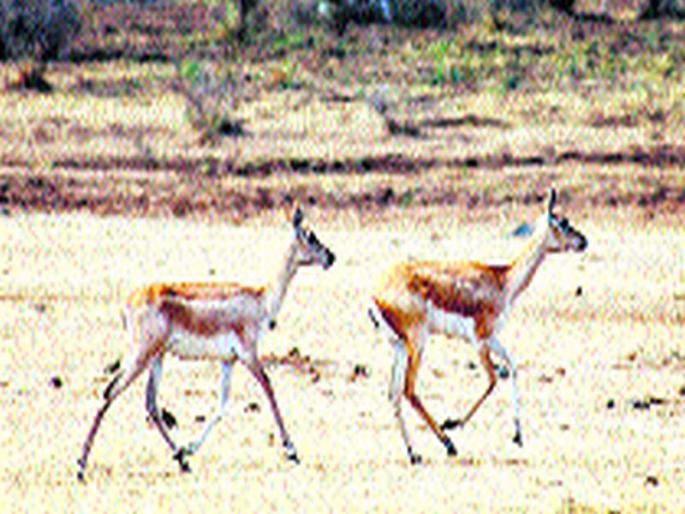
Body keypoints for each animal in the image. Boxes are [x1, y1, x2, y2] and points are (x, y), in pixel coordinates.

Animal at [77, 208, 335, 481]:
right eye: (311, 236)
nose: (331, 256)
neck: (261, 299)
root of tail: (128, 302)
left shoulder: (228, 360)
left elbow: (222, 404)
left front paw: (188, 450)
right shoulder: (249, 354)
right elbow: (268, 388)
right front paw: (292, 450)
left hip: (157, 357)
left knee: (151, 404)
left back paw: (181, 460)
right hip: (141, 356)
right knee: (110, 392)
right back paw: (81, 466)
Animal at [368, 189, 587, 464]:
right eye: (564, 223)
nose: (584, 241)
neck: (502, 280)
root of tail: (375, 295)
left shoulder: (492, 338)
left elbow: (513, 366)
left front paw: (518, 435)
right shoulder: (479, 340)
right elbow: (492, 380)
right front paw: (453, 422)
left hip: (399, 346)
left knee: (394, 394)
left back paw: (414, 453)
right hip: (417, 342)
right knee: (409, 390)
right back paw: (448, 444)